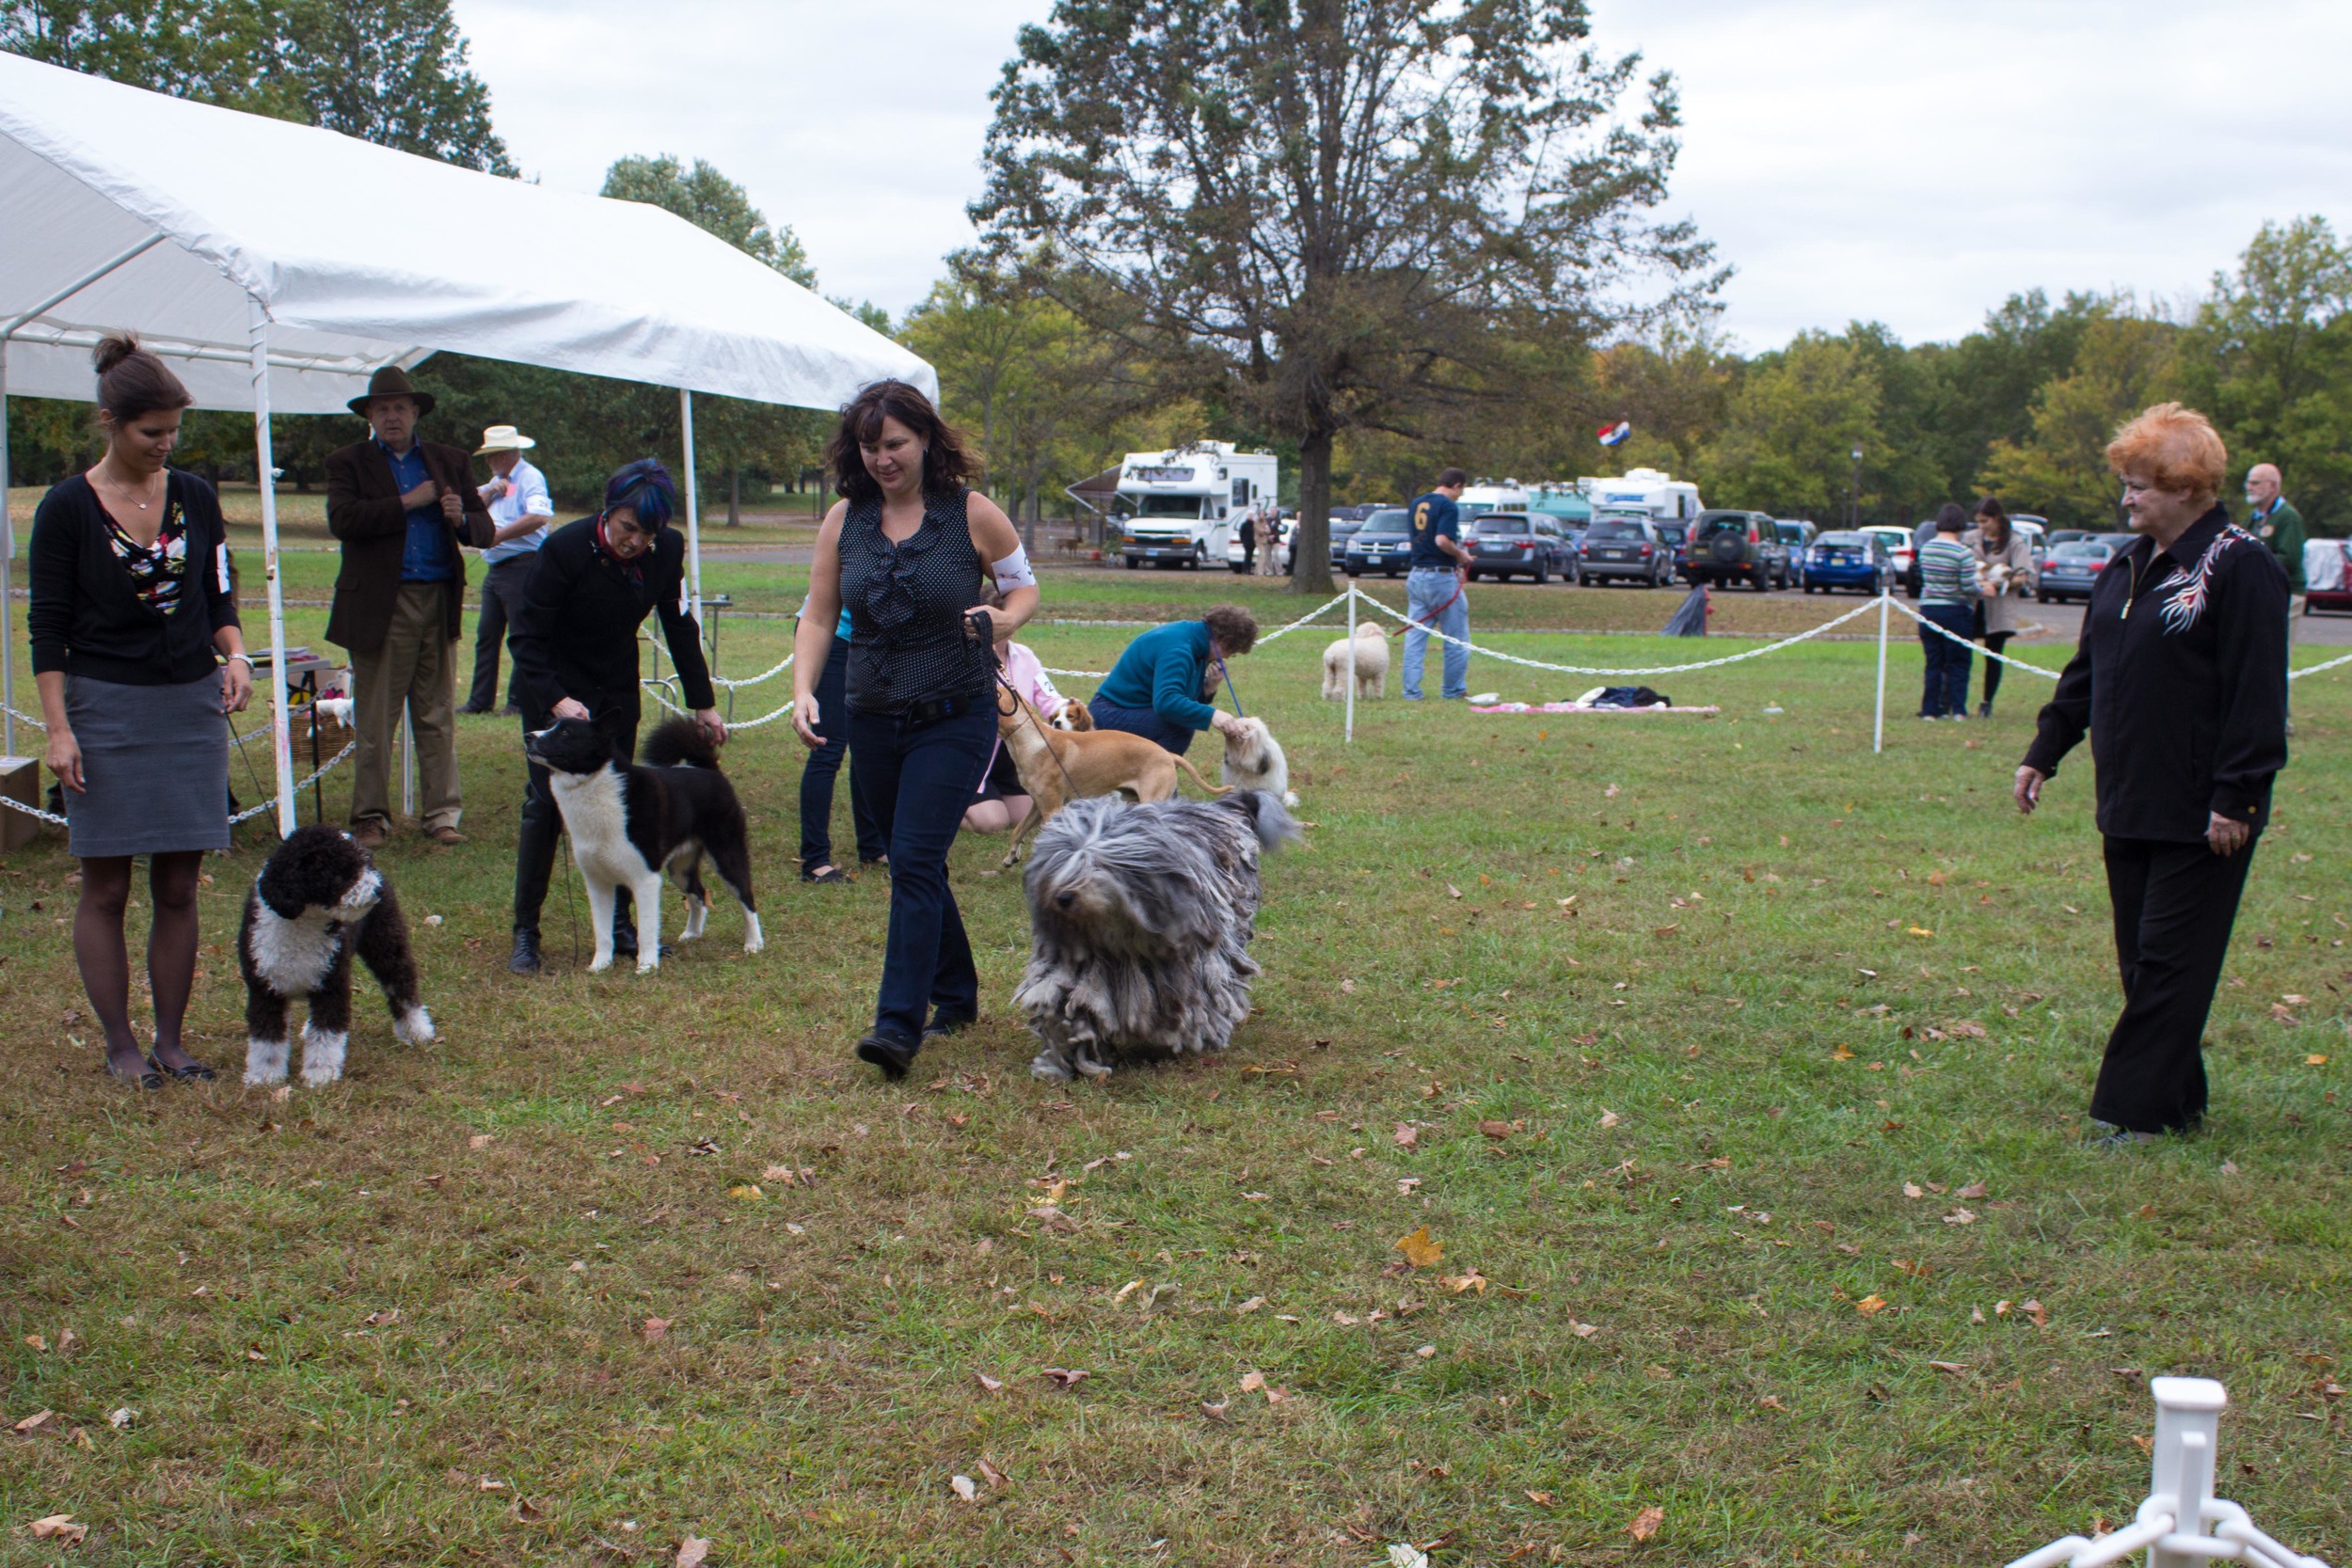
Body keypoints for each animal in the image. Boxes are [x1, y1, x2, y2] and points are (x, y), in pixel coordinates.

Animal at [238, 822, 433, 1090]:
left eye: (364, 863)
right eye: (342, 872)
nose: (378, 890)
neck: (303, 922)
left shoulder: (332, 986)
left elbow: (325, 1036)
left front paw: (319, 1073)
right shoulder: (265, 990)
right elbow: (266, 1038)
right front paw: (265, 1076)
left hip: (386, 944)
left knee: (402, 986)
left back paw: (417, 1029)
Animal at [524, 714, 762, 968]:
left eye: (565, 733)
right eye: (548, 726)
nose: (528, 736)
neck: (597, 785)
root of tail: (708, 769)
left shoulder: (645, 878)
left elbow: (647, 929)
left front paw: (647, 966)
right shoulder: (597, 882)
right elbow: (602, 931)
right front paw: (599, 966)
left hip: (727, 853)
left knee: (746, 897)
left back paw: (754, 943)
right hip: (680, 868)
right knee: (698, 893)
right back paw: (693, 933)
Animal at [993, 690, 1232, 869]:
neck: (1034, 741)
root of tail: (1168, 754)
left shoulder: (1052, 809)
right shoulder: (1038, 804)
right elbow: (1017, 831)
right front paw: (1011, 856)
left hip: (1151, 802)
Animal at [1011, 789, 1308, 1085]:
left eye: (1097, 864)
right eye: (1061, 860)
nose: (1063, 897)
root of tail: (1222, 807)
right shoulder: (1083, 973)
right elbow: (1069, 1010)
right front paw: (1061, 1062)